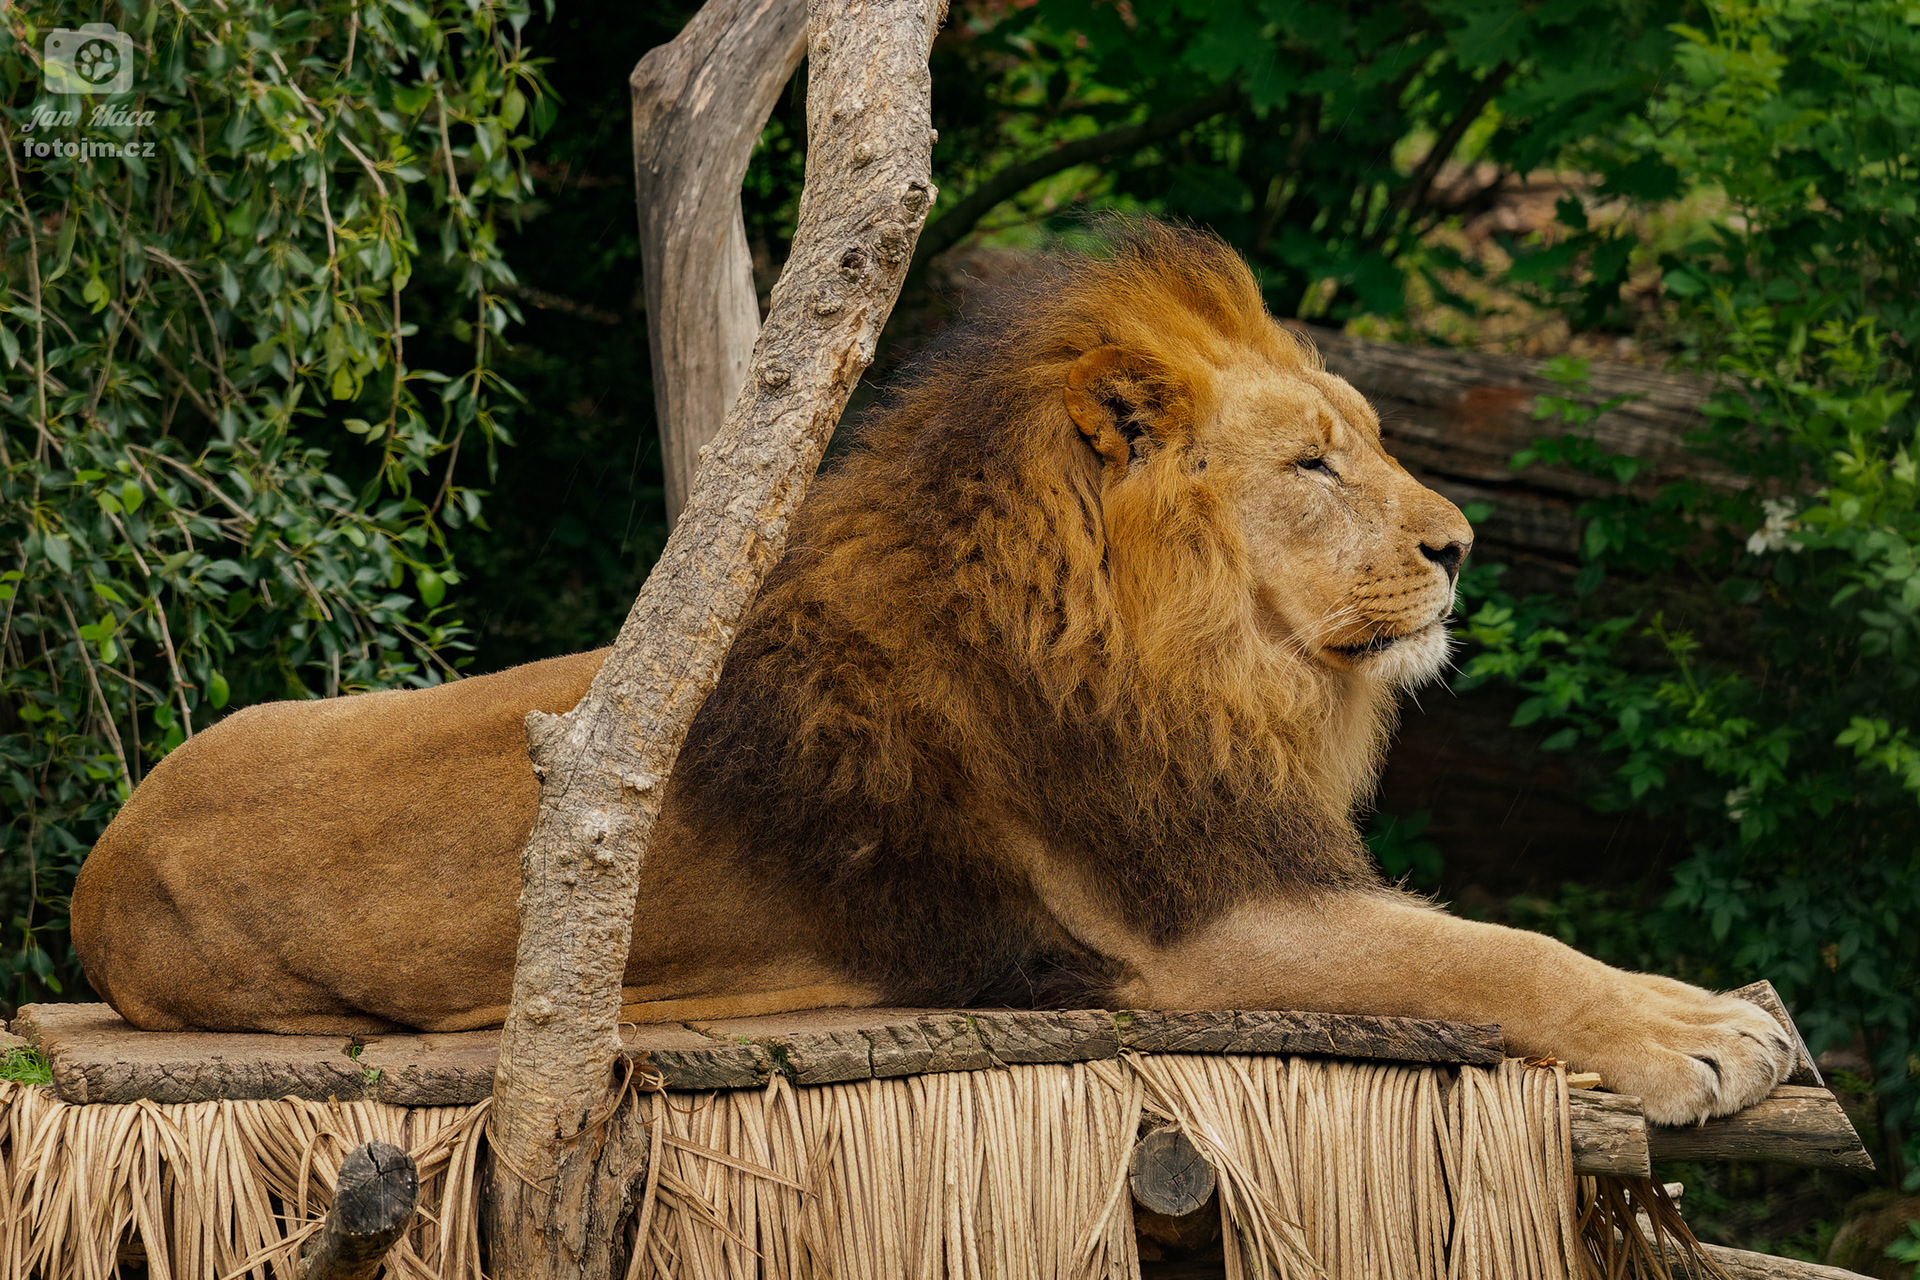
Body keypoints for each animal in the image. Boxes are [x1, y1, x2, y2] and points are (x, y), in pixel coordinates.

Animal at [72, 221, 1790, 1125]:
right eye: (1314, 465)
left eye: (1369, 438)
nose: (1462, 546)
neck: (1201, 664)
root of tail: (97, 863)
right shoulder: (1184, 941)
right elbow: (1490, 955)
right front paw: (1697, 1036)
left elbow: (1494, 937)